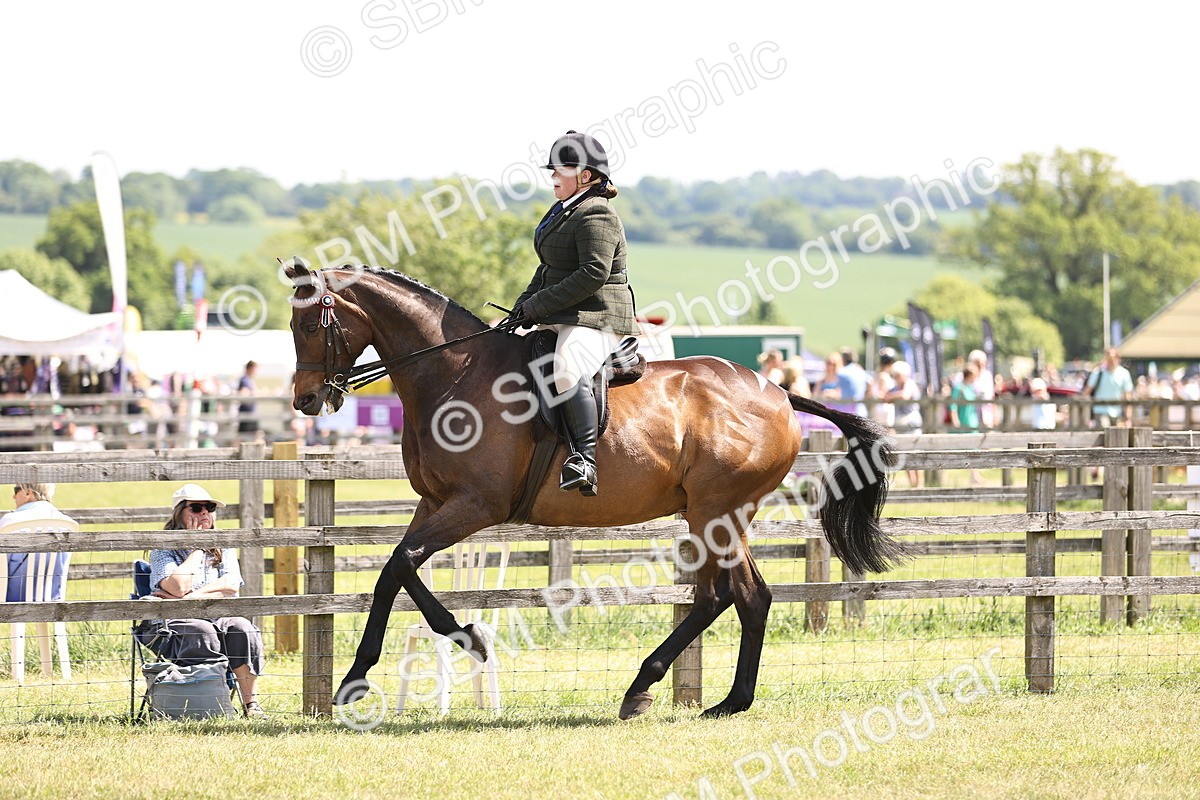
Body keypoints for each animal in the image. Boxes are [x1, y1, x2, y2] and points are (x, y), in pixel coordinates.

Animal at [284, 260, 904, 719]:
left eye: (310, 326)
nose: (307, 400)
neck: (455, 372)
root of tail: (777, 391)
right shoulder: (435, 503)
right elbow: (398, 571)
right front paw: (366, 673)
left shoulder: (474, 506)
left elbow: (400, 565)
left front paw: (459, 641)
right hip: (715, 516)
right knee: (727, 598)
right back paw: (677, 693)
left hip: (717, 512)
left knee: (740, 597)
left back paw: (704, 698)